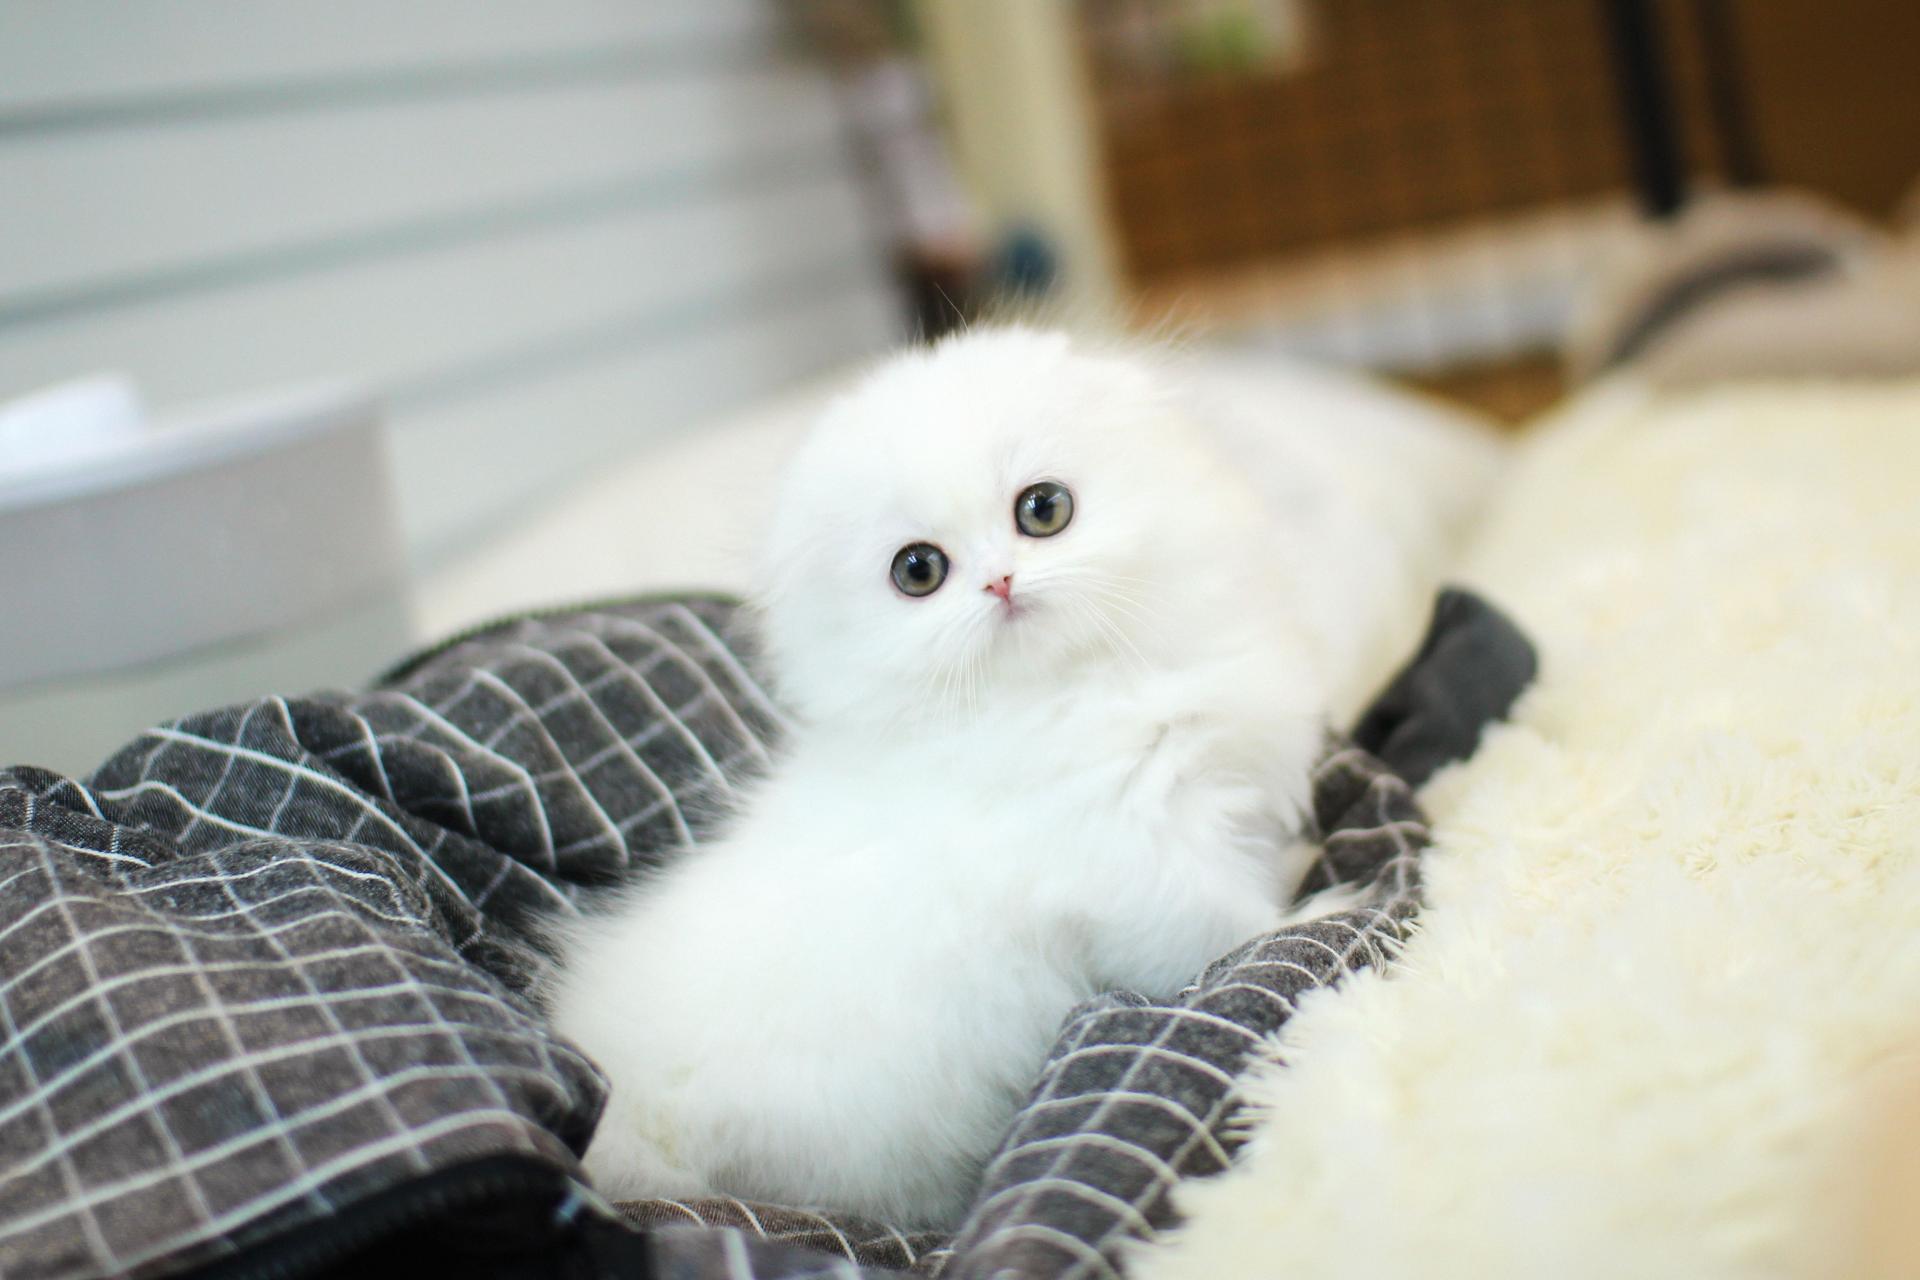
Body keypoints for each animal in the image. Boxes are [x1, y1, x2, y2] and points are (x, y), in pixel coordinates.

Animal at [547, 327, 1420, 1227]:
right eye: (918, 570)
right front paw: (1323, 906)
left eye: (1043, 510)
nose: (1000, 581)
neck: (1081, 687)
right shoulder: (1137, 876)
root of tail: (626, 1107)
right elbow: (1234, 929)